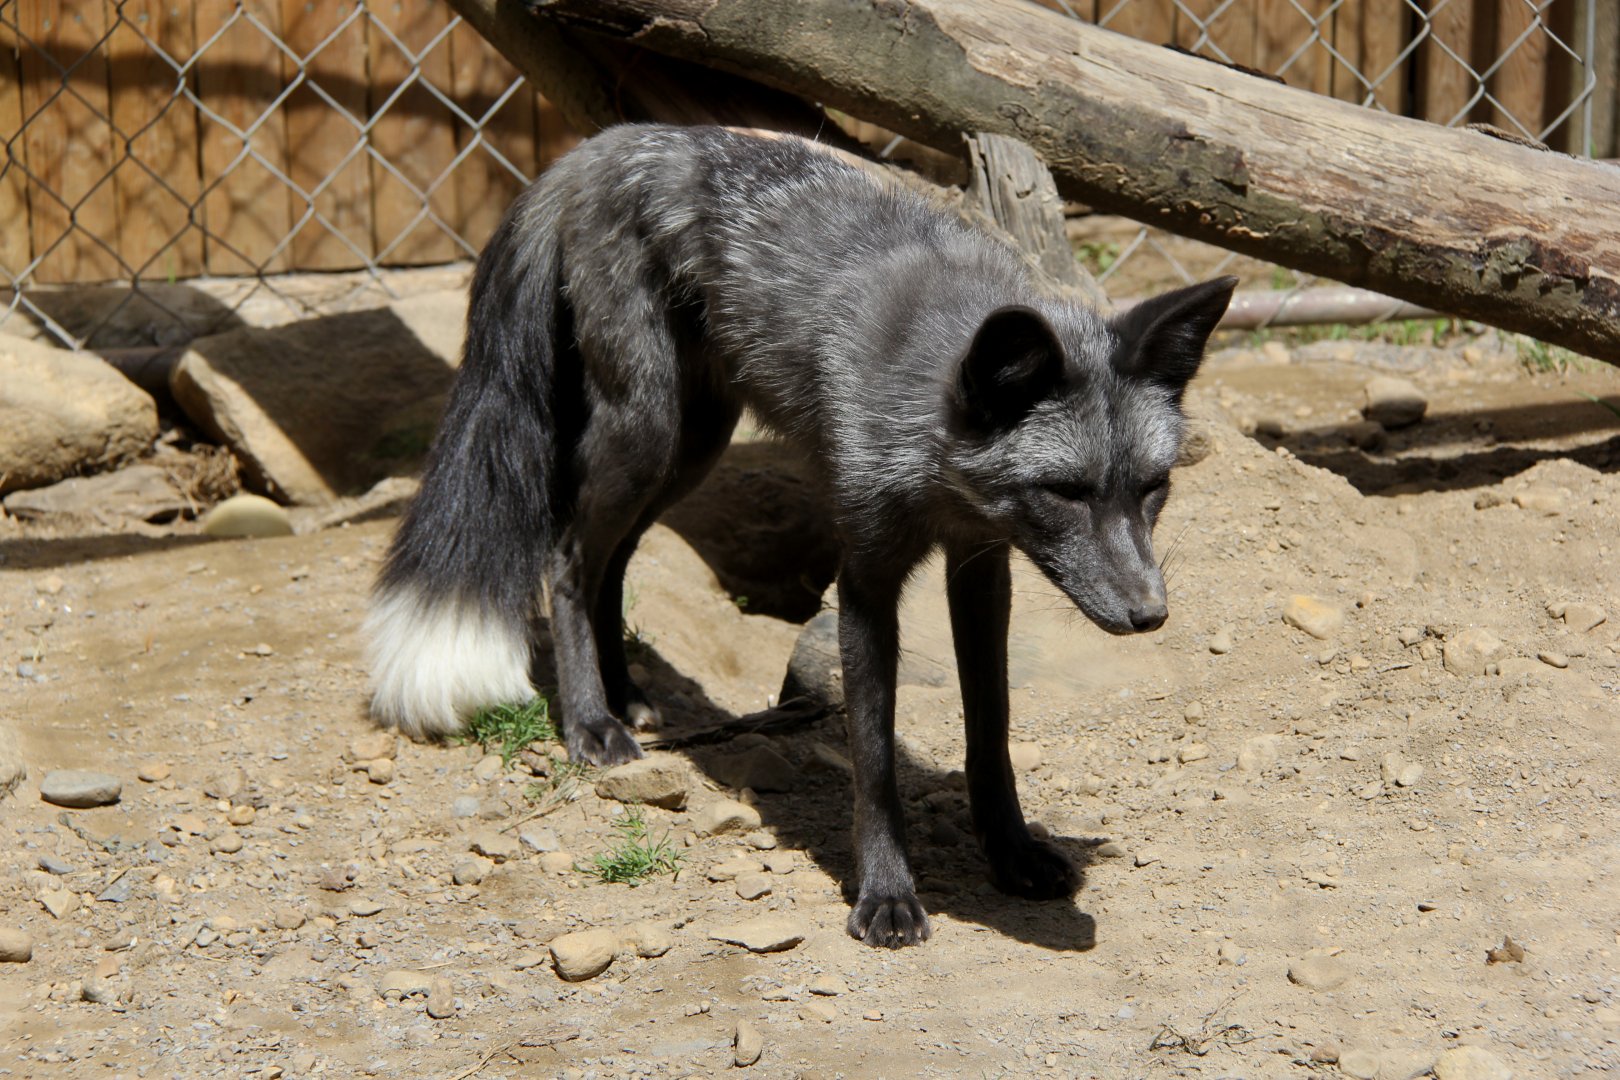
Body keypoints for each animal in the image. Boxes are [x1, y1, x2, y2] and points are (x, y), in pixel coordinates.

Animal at [366, 123, 1234, 948]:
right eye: (1066, 492)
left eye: (1152, 488)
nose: (1150, 614)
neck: (930, 436)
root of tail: (614, 142)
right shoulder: (866, 579)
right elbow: (874, 760)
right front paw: (886, 894)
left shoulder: (983, 568)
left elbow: (991, 731)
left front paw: (1011, 853)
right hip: (646, 432)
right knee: (570, 558)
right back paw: (591, 722)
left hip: (691, 446)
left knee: (613, 562)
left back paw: (626, 694)